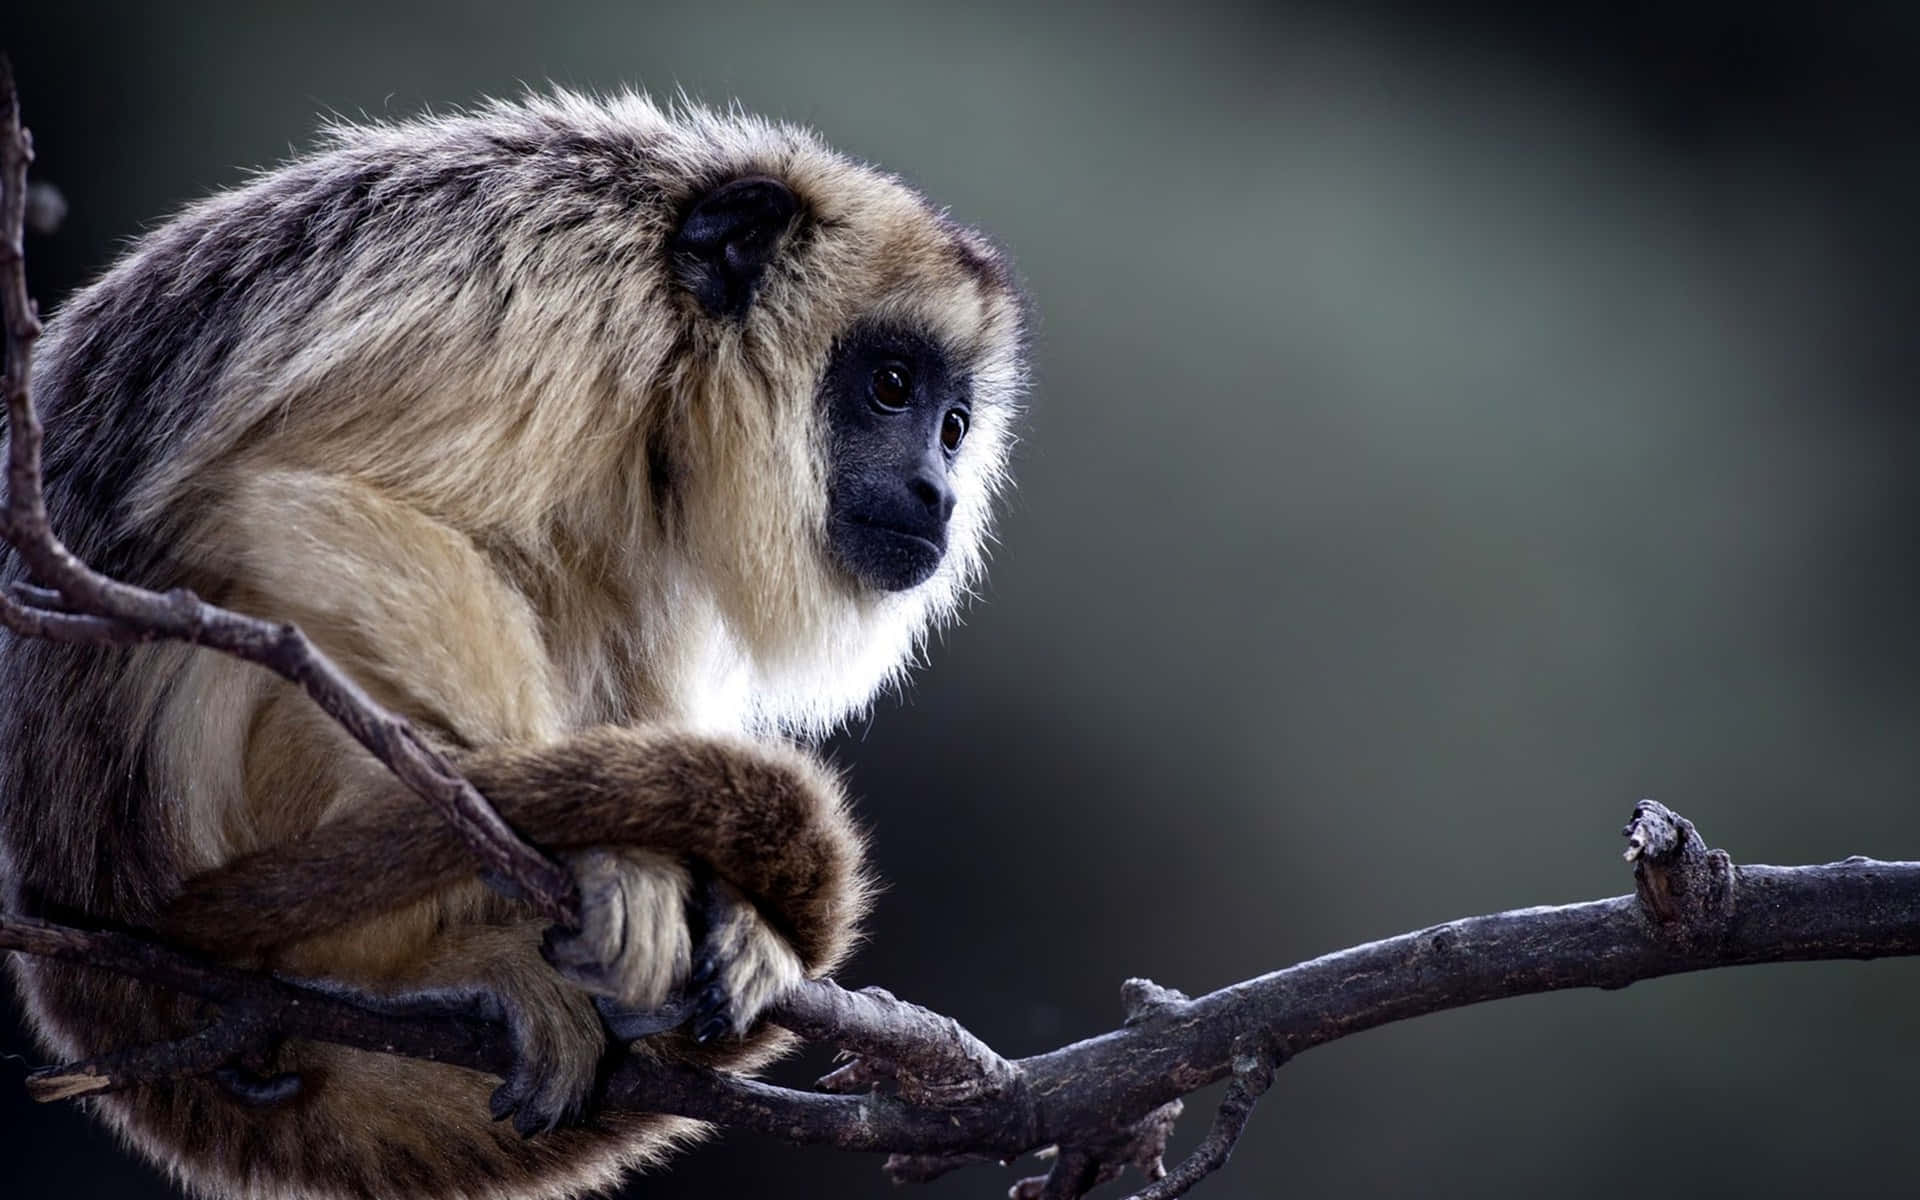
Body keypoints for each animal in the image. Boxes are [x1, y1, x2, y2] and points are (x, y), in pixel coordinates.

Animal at [0, 90, 1027, 1200]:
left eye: (955, 426)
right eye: (891, 387)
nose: (937, 490)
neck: (671, 331)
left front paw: (730, 909)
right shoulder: (556, 308)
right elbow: (298, 501)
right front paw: (605, 854)